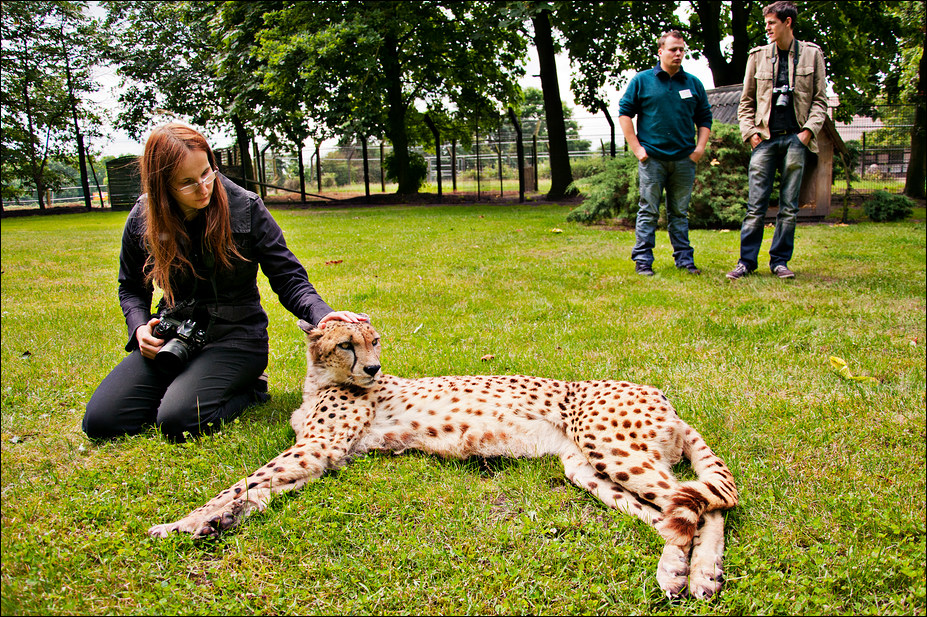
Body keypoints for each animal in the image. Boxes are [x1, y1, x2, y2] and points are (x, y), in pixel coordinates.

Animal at [148, 320, 739, 599]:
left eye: (374, 341)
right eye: (346, 344)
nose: (372, 369)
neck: (322, 378)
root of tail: (662, 396)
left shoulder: (318, 448)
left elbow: (243, 482)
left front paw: (180, 523)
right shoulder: (325, 457)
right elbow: (260, 492)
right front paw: (213, 523)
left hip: (612, 447)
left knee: (708, 507)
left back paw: (701, 575)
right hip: (585, 467)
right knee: (674, 516)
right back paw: (679, 571)